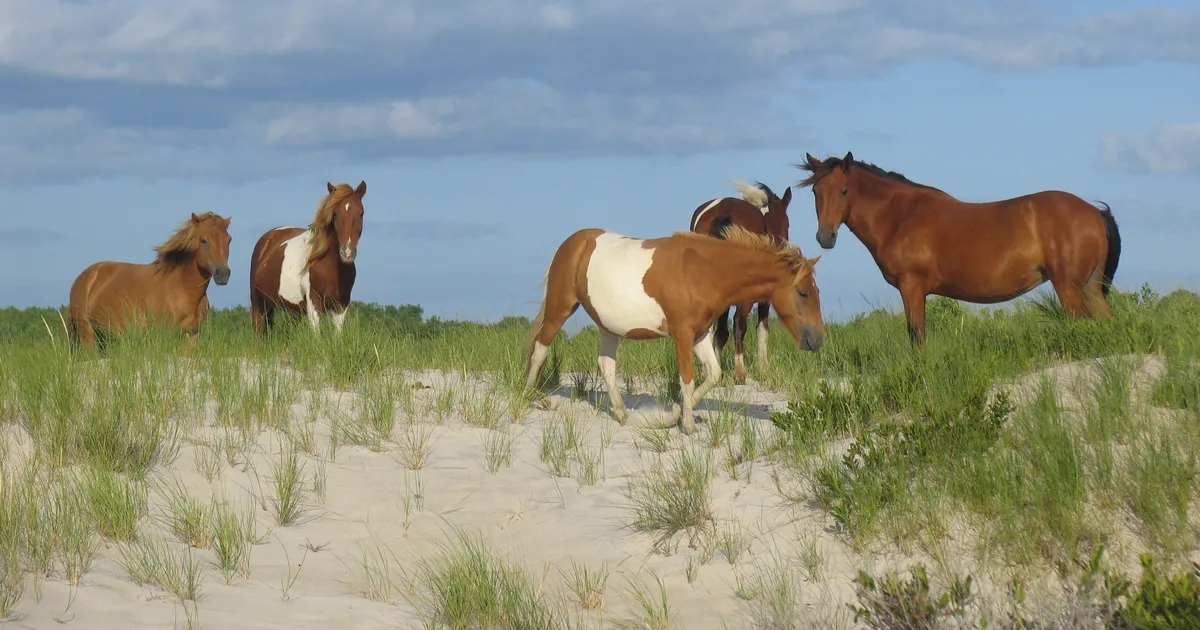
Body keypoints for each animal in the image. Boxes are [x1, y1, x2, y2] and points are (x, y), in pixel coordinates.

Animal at [68, 211, 232, 352]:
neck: (181, 289)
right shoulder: (162, 336)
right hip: (88, 335)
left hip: (103, 337)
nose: (223, 274)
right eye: (204, 240)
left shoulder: (191, 336)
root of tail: (85, 276)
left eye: (228, 240)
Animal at [249, 181, 367, 334]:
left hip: (292, 311)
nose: (347, 253)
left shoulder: (341, 306)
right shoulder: (313, 303)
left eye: (361, 213)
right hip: (258, 304)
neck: (331, 268)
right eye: (335, 214)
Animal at [524, 225, 823, 435]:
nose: (818, 340)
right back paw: (528, 397)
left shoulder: (700, 335)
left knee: (606, 365)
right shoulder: (682, 334)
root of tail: (573, 243)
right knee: (540, 350)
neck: (704, 272)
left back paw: (621, 413)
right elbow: (687, 378)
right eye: (804, 292)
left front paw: (675, 413)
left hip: (609, 326)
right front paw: (687, 425)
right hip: (559, 309)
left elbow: (713, 375)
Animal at [689, 180, 793, 384]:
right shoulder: (764, 300)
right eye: (788, 223)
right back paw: (740, 371)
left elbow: (720, 333)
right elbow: (762, 330)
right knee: (739, 323)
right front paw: (763, 368)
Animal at [795, 151, 1121, 344]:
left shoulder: (911, 288)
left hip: (1069, 288)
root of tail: (1094, 213)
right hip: (1090, 288)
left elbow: (917, 336)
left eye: (844, 191)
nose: (825, 237)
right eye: (815, 191)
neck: (900, 216)